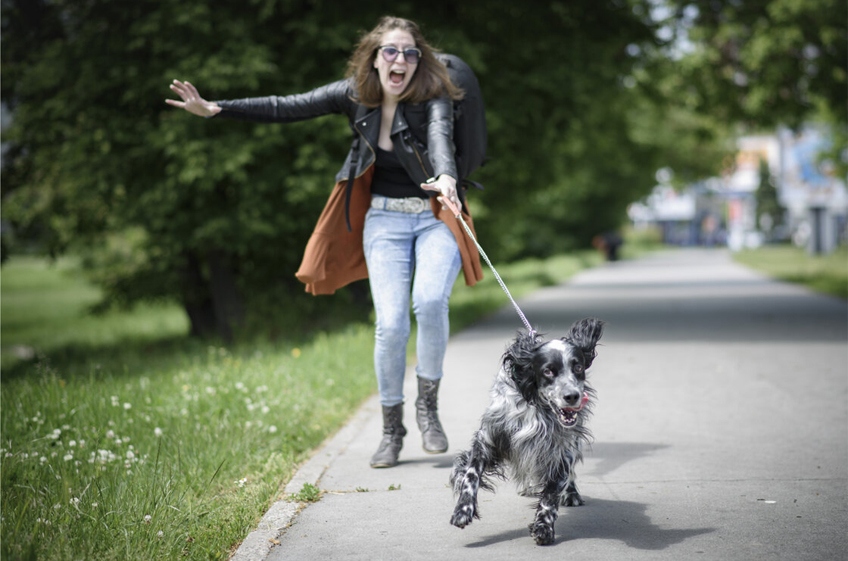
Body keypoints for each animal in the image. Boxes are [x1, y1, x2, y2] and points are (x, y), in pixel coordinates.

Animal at [450, 318, 604, 544]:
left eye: (578, 367)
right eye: (548, 371)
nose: (572, 396)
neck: (537, 407)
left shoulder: (560, 451)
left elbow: (551, 494)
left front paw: (544, 527)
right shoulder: (488, 439)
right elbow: (470, 474)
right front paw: (463, 510)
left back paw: (571, 494)